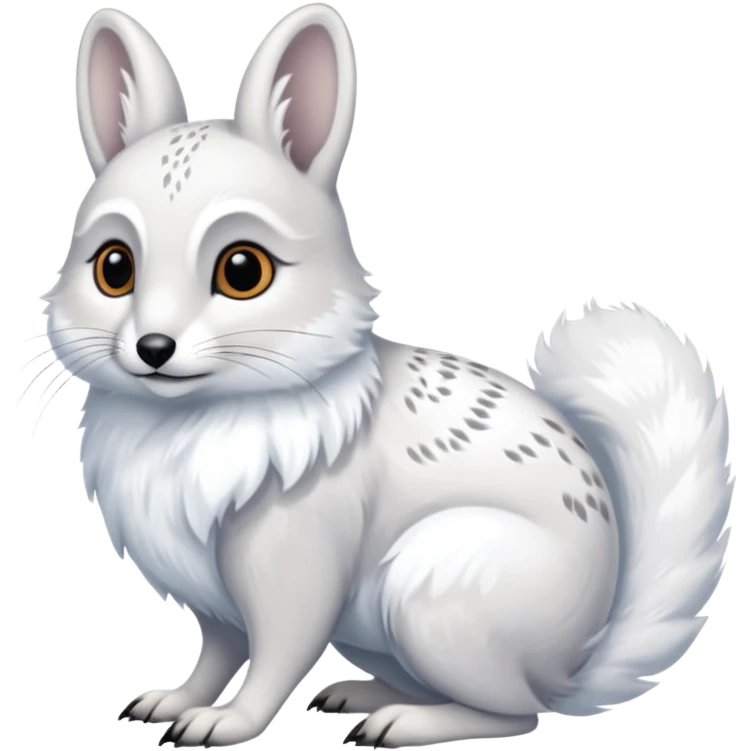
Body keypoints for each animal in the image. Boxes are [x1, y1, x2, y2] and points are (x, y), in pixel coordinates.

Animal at [33, 3, 734, 748]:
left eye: (243, 270)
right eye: (113, 267)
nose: (154, 347)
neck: (189, 416)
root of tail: (575, 664)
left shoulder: (295, 571)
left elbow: (274, 656)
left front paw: (223, 724)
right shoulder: (212, 599)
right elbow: (216, 654)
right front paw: (172, 704)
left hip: (427, 589)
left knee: (513, 712)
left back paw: (398, 722)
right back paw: (359, 693)